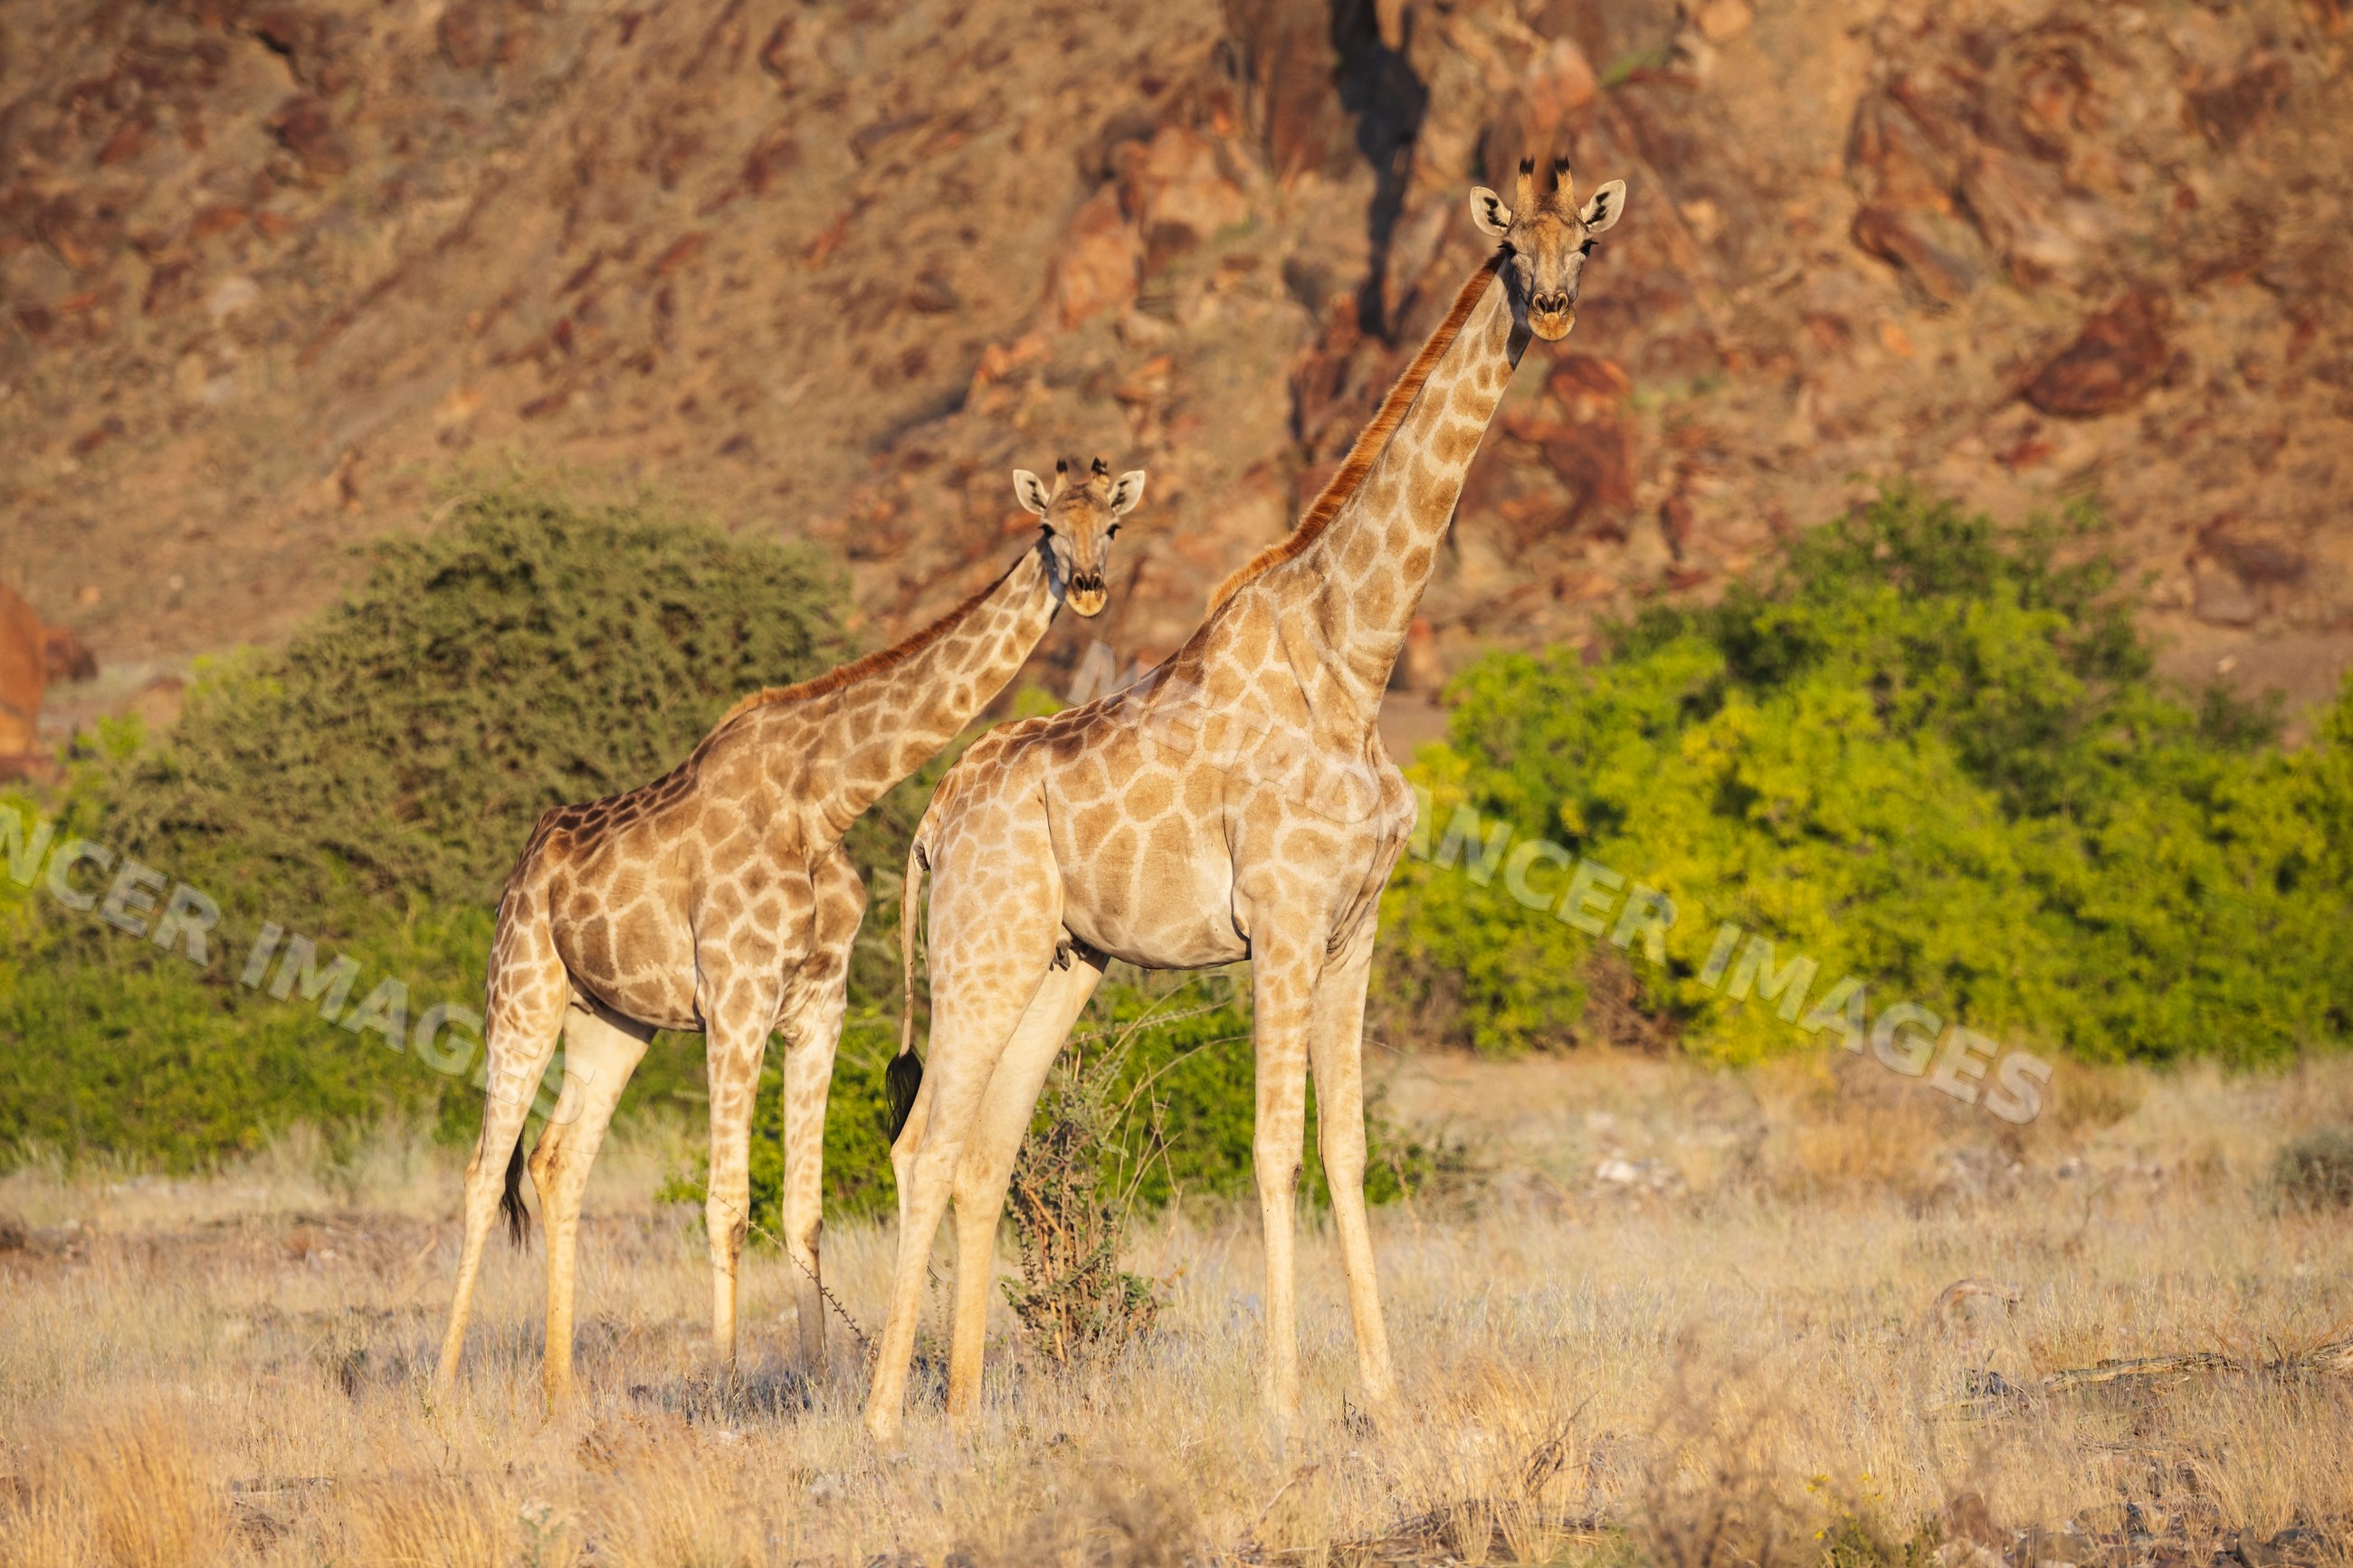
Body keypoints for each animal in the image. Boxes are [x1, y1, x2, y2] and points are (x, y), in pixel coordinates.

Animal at [430, 458, 1148, 1406]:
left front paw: (814, 1384)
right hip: (521, 993)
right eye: (1050, 528)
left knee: (557, 1160)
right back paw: (441, 1387)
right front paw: (729, 1387)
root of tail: (521, 871)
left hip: (611, 1021)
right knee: (484, 1171)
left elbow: (804, 1210)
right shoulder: (736, 1001)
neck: (827, 796)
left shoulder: (817, 1005)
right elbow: (728, 1204)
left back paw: (559, 1389)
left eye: (1112, 524)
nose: (1093, 586)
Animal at [863, 160, 1625, 1442]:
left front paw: (1385, 1395)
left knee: (983, 1149)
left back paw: (963, 1412)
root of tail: (932, 822)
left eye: (1586, 240)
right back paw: (879, 1418)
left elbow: (1350, 1150)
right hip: (980, 945)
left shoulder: (1355, 927)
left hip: (1061, 961)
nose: (1555, 306)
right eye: (1511, 245)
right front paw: (1282, 1399)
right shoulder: (1279, 923)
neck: (1356, 661)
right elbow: (1273, 1151)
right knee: (923, 1146)